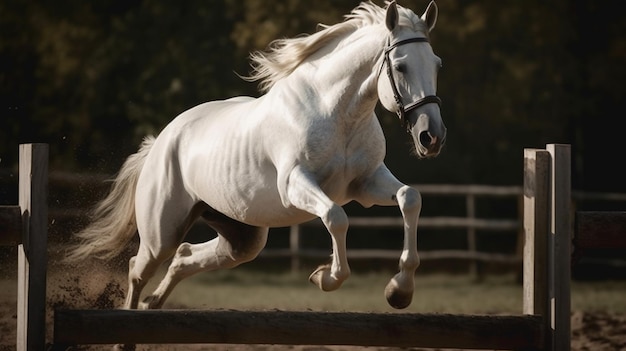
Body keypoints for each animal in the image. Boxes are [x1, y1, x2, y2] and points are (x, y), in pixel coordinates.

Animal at [68, 0, 444, 314]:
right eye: (401, 67)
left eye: (437, 65)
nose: (432, 137)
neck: (337, 113)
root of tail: (161, 141)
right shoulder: (296, 185)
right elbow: (336, 218)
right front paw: (325, 277)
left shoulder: (366, 183)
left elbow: (410, 198)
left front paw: (399, 291)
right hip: (161, 233)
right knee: (138, 269)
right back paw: (126, 333)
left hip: (240, 238)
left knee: (184, 257)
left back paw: (153, 305)